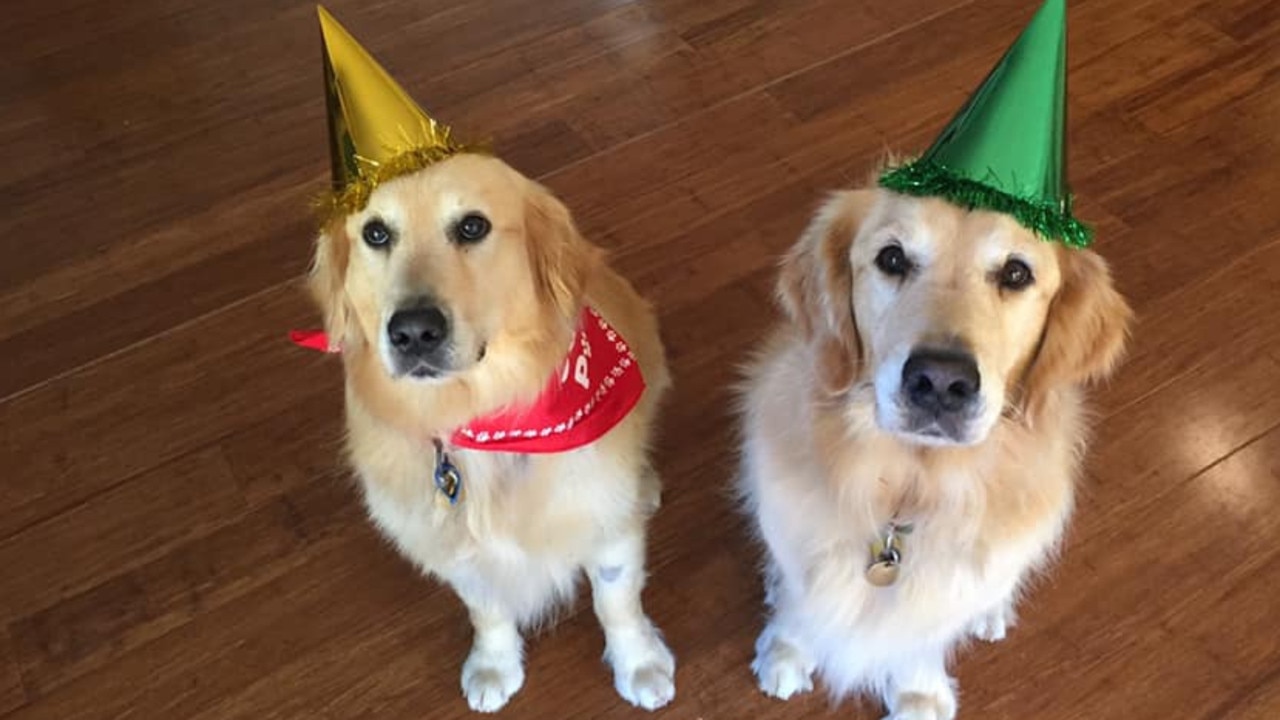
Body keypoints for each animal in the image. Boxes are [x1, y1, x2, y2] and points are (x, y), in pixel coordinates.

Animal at [308, 154, 675, 707]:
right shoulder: (459, 552)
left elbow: (617, 601)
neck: (480, 421)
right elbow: (488, 611)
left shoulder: (604, 522)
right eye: (376, 233)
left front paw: (640, 663)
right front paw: (494, 665)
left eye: (472, 227)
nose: (413, 331)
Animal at [742, 181, 1131, 712]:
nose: (942, 382)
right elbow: (802, 602)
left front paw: (918, 694)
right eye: (891, 258)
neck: (907, 491)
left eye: (1016, 273)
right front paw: (786, 649)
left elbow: (922, 638)